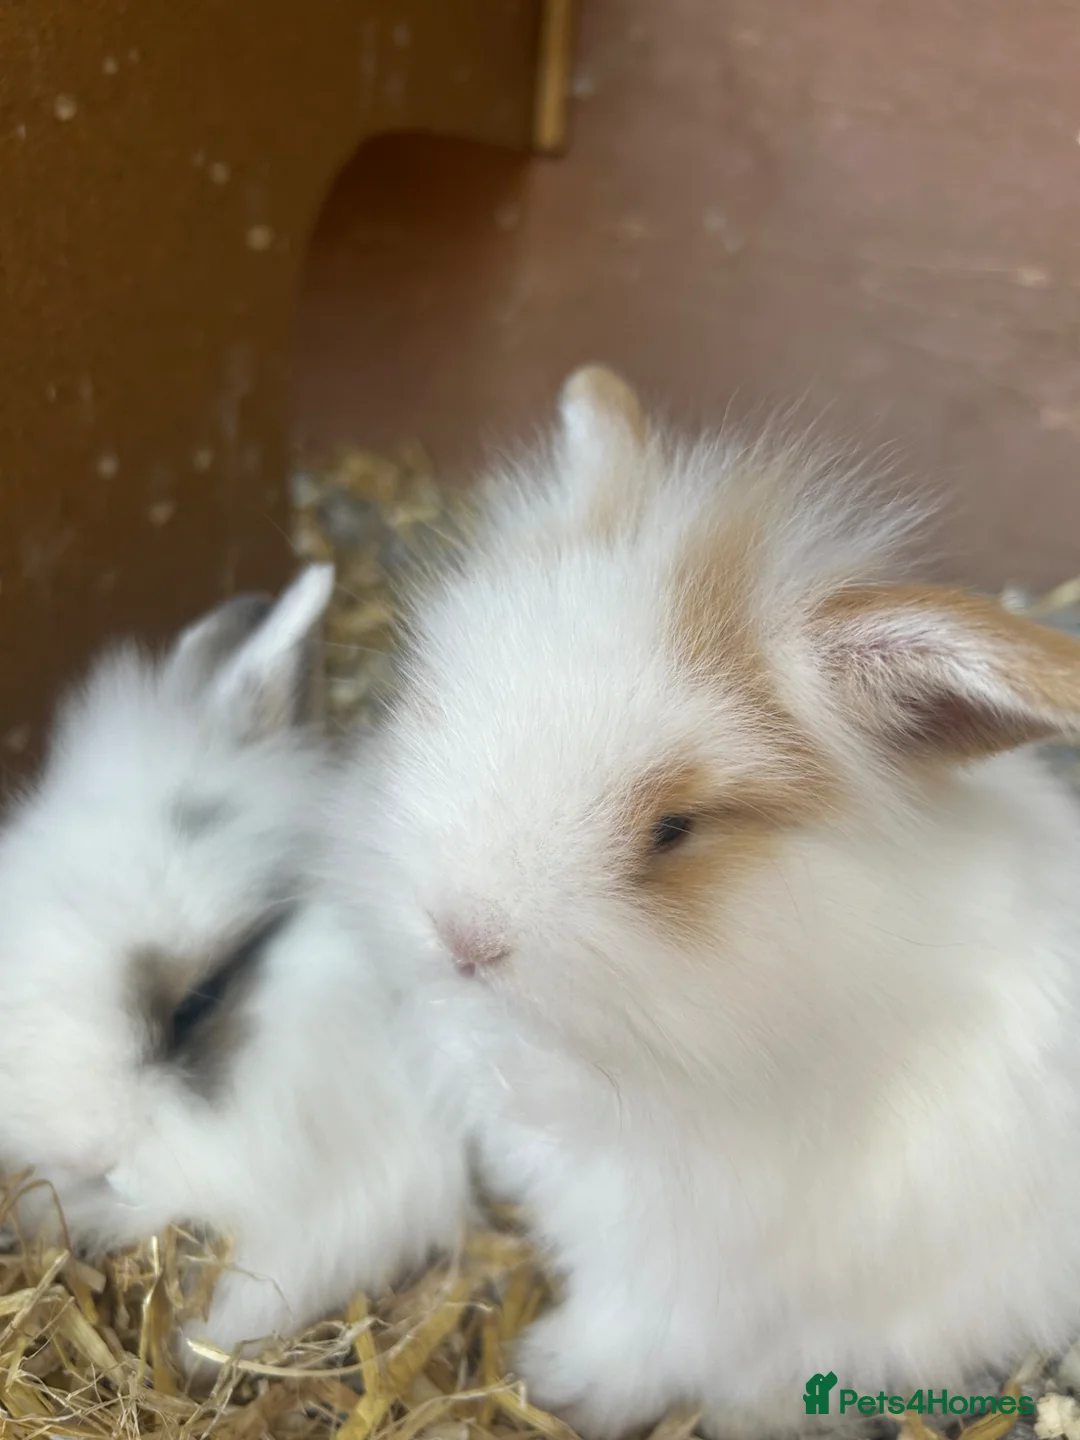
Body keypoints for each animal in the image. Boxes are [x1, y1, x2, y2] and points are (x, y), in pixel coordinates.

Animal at [325, 365, 1080, 1439]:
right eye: (439, 703)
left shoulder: (695, 1267)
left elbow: (640, 1335)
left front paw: (555, 1378)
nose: (462, 933)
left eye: (673, 829)